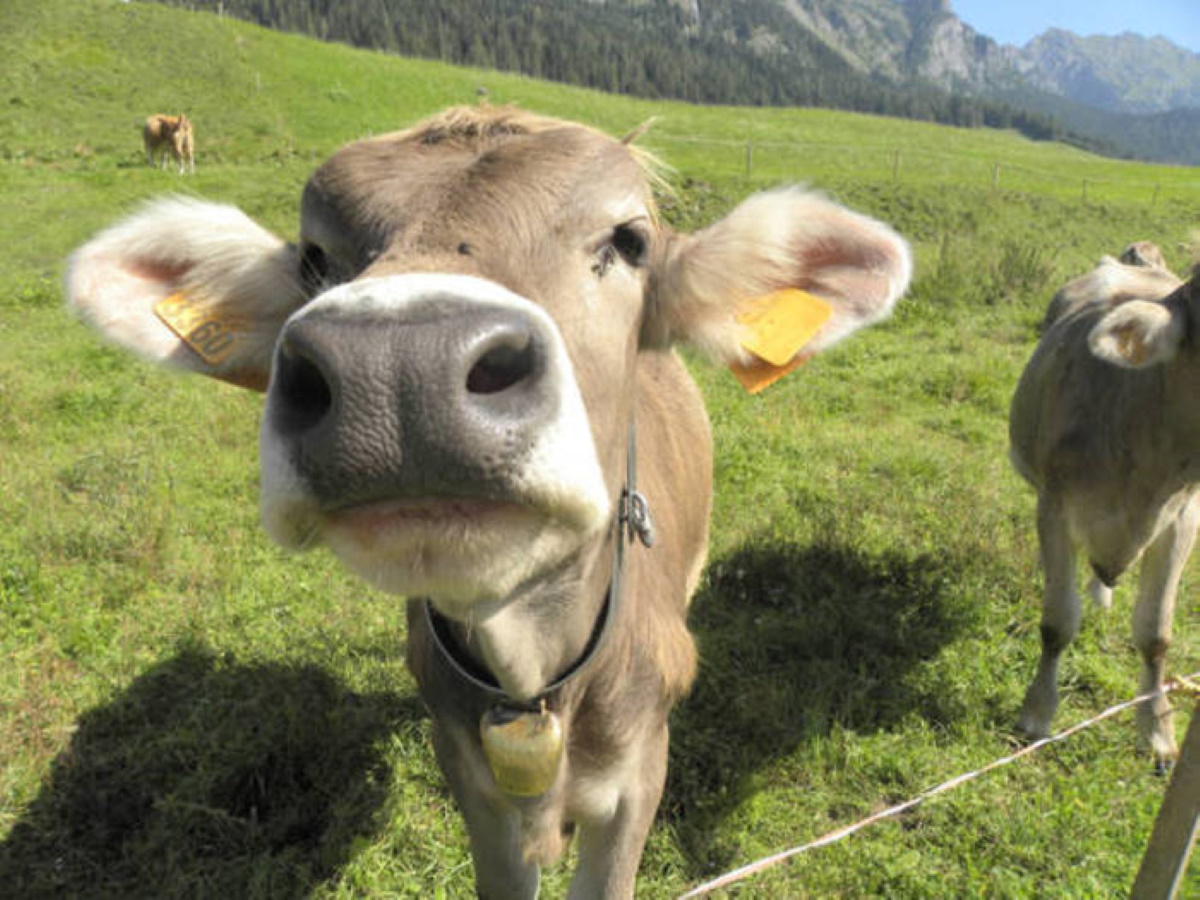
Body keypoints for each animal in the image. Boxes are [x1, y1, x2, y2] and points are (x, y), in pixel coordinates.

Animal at [67, 106, 911, 897]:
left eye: (630, 240)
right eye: (313, 256)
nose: (398, 366)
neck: (532, 668)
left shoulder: (641, 774)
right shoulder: (471, 778)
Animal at [1010, 257, 1200, 769]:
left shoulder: (1183, 519)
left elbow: (1155, 634)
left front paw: (1157, 728)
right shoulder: (1055, 507)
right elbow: (1057, 622)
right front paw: (1037, 713)